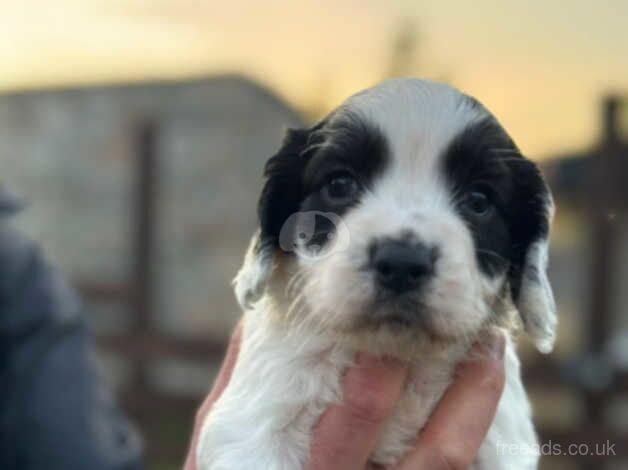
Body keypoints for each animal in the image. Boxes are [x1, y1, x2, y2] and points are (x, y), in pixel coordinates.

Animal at [197, 79, 556, 468]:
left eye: (479, 200)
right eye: (340, 184)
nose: (401, 263)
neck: (397, 354)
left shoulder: (502, 444)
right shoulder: (252, 428)